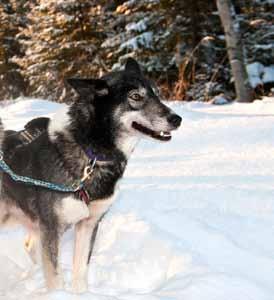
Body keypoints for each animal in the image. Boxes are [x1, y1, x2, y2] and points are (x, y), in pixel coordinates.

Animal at [0, 58, 182, 292]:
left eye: (157, 94)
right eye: (136, 97)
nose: (177, 119)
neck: (91, 154)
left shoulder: (88, 225)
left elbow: (80, 272)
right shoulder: (51, 229)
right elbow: (55, 278)